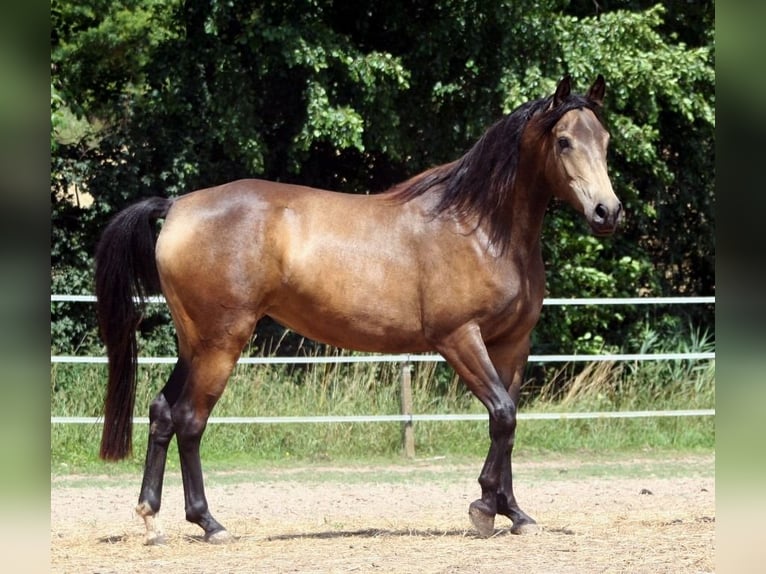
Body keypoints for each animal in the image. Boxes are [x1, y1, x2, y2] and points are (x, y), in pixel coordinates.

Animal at [96, 75, 624, 544]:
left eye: (604, 141)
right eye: (563, 141)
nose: (608, 212)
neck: (480, 228)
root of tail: (177, 206)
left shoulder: (512, 345)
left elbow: (507, 421)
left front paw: (511, 511)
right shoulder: (459, 338)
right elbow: (502, 413)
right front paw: (483, 508)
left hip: (195, 343)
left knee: (163, 412)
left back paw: (152, 520)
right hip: (221, 343)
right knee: (190, 421)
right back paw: (210, 524)